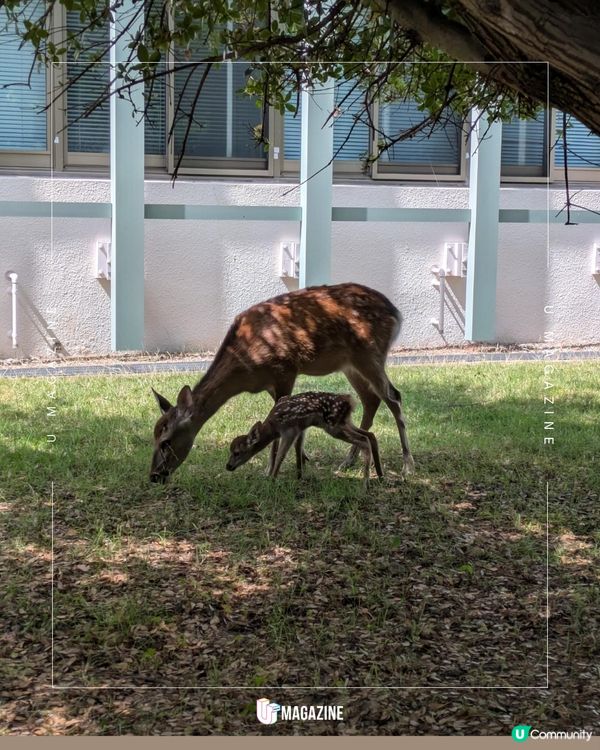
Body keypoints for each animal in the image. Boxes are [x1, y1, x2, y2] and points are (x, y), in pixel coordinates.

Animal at [226, 391, 384, 485]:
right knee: (370, 435)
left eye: (237, 452)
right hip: (344, 422)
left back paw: (365, 482)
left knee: (364, 440)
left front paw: (272, 479)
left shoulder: (289, 430)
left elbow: (281, 455)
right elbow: (298, 449)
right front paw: (299, 476)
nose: (228, 466)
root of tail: (350, 400)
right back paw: (380, 476)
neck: (273, 426)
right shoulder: (301, 429)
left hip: (334, 426)